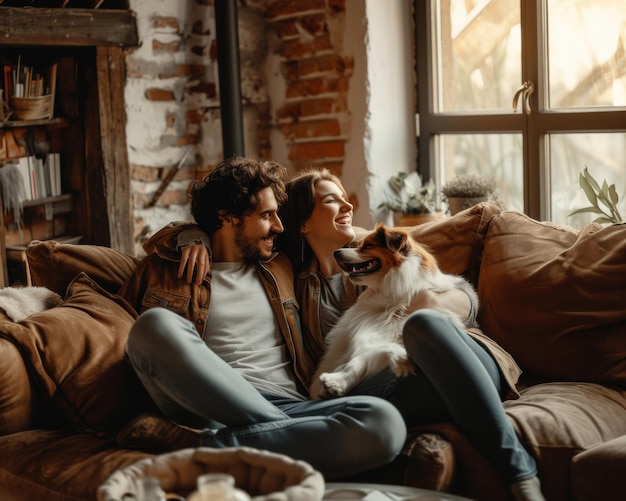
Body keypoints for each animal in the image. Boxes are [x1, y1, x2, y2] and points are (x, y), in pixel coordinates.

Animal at [308, 223, 478, 398]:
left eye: (367, 246)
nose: (336, 252)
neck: (395, 297)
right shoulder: (372, 330)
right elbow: (365, 356)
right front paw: (337, 382)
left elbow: (366, 356)